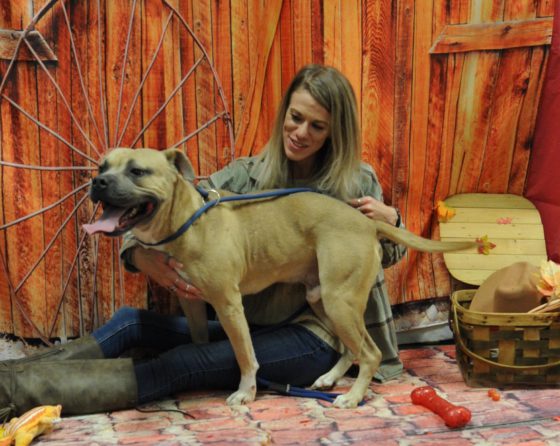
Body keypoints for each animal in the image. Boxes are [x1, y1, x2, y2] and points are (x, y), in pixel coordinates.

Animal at [85, 149, 474, 408]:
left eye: (137, 171)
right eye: (103, 166)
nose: (97, 181)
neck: (188, 221)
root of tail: (366, 222)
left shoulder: (228, 304)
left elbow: (245, 355)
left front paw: (246, 392)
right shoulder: (191, 302)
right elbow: (198, 341)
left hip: (339, 299)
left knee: (371, 351)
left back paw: (351, 397)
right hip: (326, 298)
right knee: (351, 347)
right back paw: (330, 378)